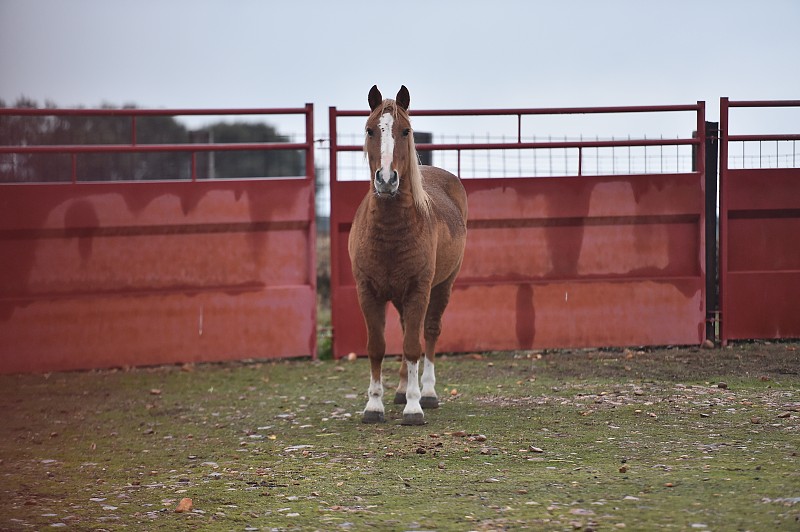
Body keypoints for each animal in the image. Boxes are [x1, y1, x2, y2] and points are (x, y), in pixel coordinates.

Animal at [348, 85, 468, 424]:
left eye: (406, 130)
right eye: (370, 129)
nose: (387, 180)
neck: (390, 230)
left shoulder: (418, 290)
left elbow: (414, 345)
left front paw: (414, 407)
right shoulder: (368, 292)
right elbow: (377, 346)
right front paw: (374, 405)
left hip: (442, 286)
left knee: (429, 332)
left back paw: (426, 392)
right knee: (404, 331)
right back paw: (402, 390)